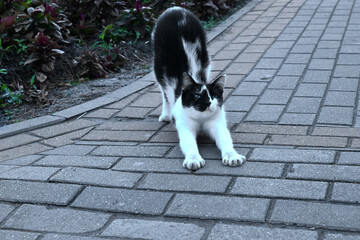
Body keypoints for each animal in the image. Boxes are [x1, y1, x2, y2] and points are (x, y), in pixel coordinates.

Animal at [152, 6, 245, 170]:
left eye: (214, 96)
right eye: (197, 96)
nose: (208, 103)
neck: (201, 120)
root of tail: (175, 9)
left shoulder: (218, 124)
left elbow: (226, 139)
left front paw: (232, 156)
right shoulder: (184, 126)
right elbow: (189, 143)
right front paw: (193, 159)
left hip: (206, 60)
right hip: (159, 69)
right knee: (164, 92)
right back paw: (166, 114)